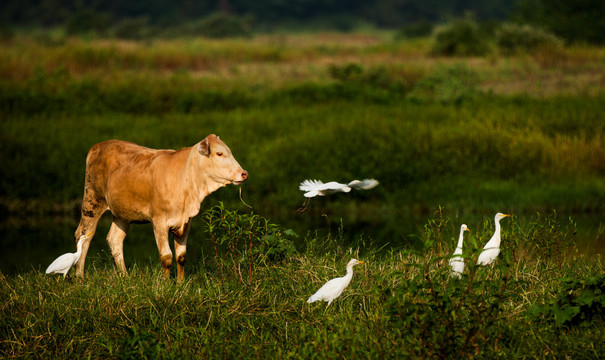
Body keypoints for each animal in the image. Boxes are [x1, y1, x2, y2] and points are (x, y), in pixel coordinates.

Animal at [73, 135, 248, 282]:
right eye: (219, 153)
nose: (243, 173)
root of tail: (98, 145)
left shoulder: (187, 222)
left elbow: (181, 256)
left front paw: (180, 284)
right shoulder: (159, 221)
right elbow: (166, 257)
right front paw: (166, 284)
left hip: (122, 213)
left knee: (114, 239)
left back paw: (125, 276)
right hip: (92, 200)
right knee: (84, 235)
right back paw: (80, 276)